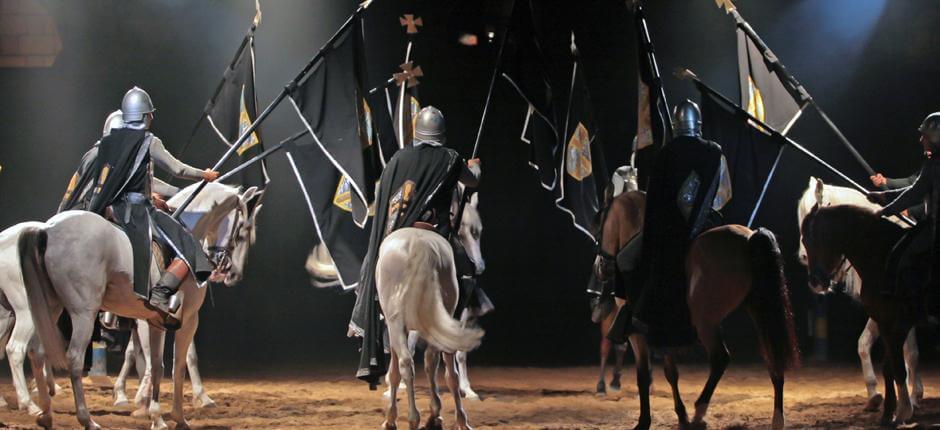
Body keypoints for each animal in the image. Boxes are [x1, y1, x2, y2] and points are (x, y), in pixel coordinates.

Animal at [18, 182, 258, 430]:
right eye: (243, 230)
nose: (230, 272)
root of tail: (47, 230)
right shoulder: (188, 319)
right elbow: (177, 365)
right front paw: (177, 416)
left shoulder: (155, 321)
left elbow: (156, 364)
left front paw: (155, 415)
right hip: (83, 313)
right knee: (72, 357)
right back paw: (86, 419)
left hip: (52, 307)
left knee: (37, 350)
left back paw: (45, 413)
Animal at [600, 191, 796, 430]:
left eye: (601, 221)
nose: (601, 267)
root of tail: (749, 238)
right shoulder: (663, 332)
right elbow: (671, 373)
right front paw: (681, 416)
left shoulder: (638, 334)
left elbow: (644, 376)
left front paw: (645, 422)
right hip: (759, 311)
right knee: (773, 358)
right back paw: (777, 419)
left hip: (706, 321)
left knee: (721, 358)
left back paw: (699, 413)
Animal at [796, 177, 920, 410]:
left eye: (813, 222)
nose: (803, 258)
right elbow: (864, 344)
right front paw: (875, 395)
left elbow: (909, 351)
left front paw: (914, 396)